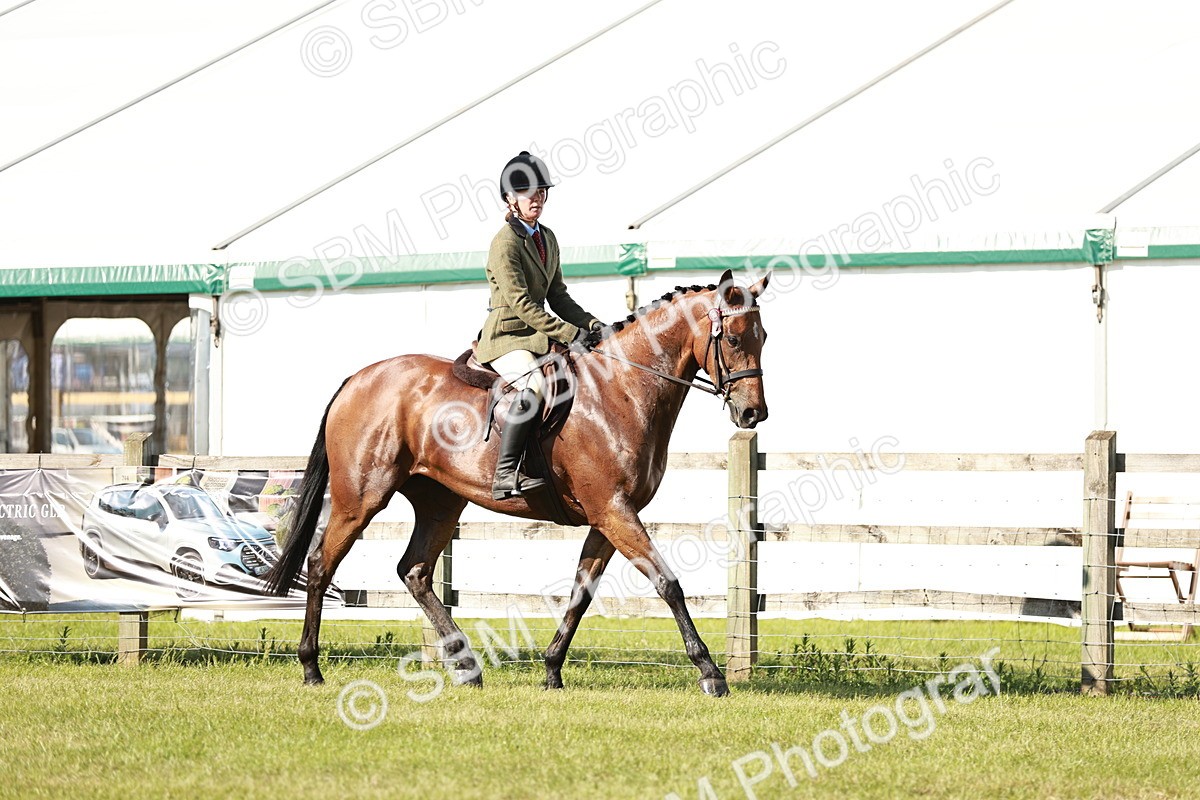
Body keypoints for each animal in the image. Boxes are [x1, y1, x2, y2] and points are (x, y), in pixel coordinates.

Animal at [264, 269, 769, 696]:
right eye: (734, 338)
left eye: (763, 337)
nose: (753, 414)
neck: (622, 388)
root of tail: (358, 378)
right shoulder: (613, 510)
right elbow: (668, 583)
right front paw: (711, 674)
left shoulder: (608, 517)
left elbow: (580, 595)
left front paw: (551, 671)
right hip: (361, 498)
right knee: (321, 565)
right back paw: (311, 667)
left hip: (440, 501)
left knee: (415, 571)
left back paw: (467, 667)